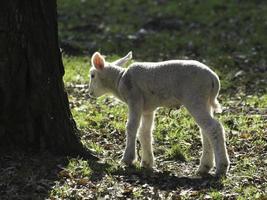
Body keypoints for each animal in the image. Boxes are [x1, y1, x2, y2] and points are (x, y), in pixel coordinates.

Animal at [88, 51, 230, 177]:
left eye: (92, 75)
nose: (89, 93)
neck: (120, 79)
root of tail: (214, 79)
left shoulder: (134, 98)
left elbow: (131, 127)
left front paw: (128, 159)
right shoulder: (148, 109)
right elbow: (144, 132)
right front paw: (147, 163)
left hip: (194, 97)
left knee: (214, 128)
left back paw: (221, 167)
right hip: (205, 101)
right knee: (205, 130)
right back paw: (205, 167)